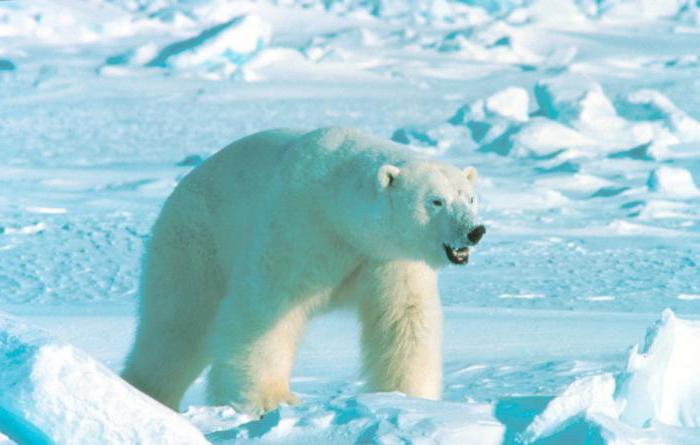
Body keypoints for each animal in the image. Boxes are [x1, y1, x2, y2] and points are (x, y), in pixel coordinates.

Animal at [123, 126, 484, 414]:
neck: (339, 214)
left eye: (469, 198)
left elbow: (404, 317)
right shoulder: (298, 228)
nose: (474, 231)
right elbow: (264, 309)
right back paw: (147, 394)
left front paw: (409, 398)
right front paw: (268, 399)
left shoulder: (387, 257)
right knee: (176, 324)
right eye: (436, 201)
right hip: (195, 244)